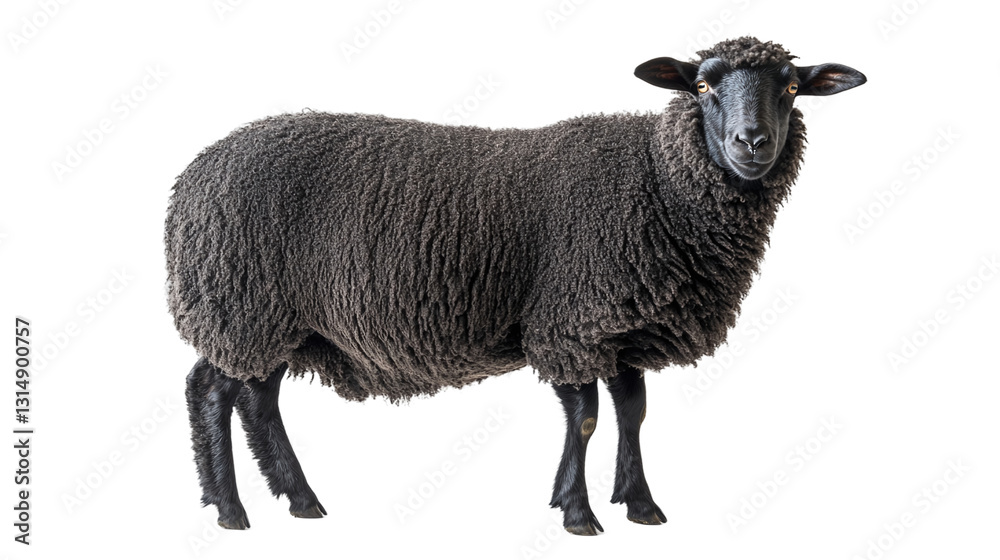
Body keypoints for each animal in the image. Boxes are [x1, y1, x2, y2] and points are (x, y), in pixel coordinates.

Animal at [166, 36, 865, 534]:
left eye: (792, 88)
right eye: (702, 84)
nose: (754, 142)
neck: (656, 181)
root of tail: (195, 174)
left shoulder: (621, 326)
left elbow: (634, 414)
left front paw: (639, 504)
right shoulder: (570, 322)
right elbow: (586, 419)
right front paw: (579, 513)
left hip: (273, 320)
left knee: (258, 399)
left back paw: (300, 500)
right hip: (239, 305)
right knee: (212, 391)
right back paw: (231, 510)